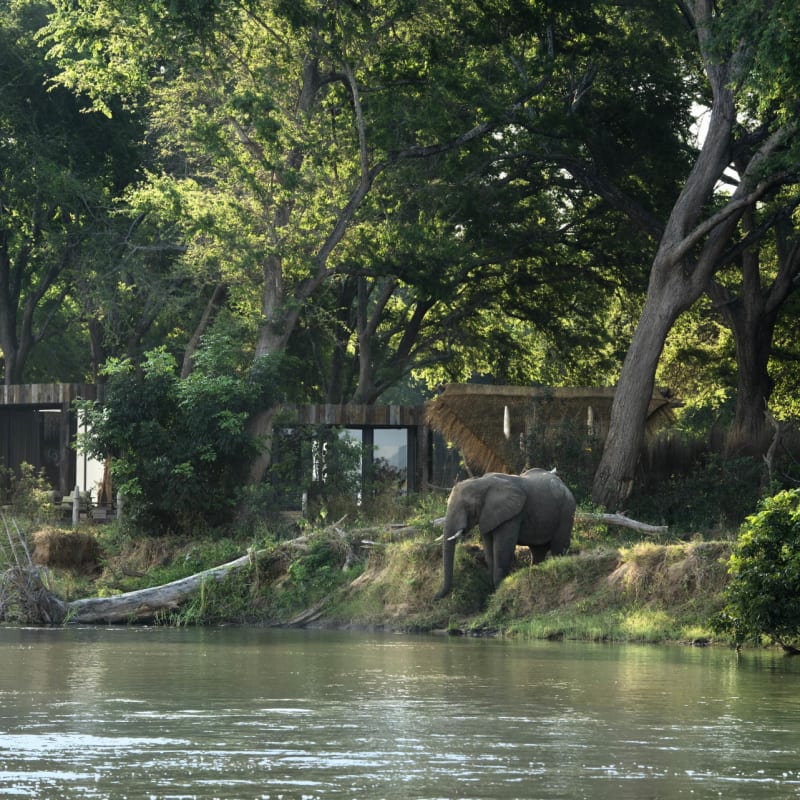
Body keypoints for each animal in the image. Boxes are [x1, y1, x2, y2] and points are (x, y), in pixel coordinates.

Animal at [434, 468, 575, 599]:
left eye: (469, 507)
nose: (435, 597)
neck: (481, 482)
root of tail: (563, 484)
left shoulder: (512, 515)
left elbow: (503, 548)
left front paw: (500, 589)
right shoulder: (487, 515)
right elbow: (489, 550)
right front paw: (494, 591)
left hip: (566, 510)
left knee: (558, 547)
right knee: (537, 551)